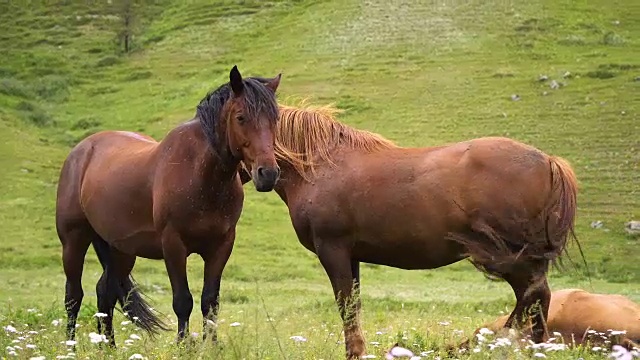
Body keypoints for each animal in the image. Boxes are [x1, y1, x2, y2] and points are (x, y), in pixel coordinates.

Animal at [55, 65, 282, 346]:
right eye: (241, 118)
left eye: (275, 120)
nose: (268, 174)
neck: (200, 175)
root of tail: (81, 150)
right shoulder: (173, 245)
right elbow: (183, 301)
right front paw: (183, 346)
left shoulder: (221, 246)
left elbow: (210, 302)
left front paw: (212, 347)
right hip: (73, 240)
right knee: (73, 296)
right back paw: (71, 347)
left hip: (121, 250)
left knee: (104, 293)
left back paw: (109, 348)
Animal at [239, 99, 580, 360]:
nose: (263, 175)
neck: (319, 165)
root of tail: (548, 161)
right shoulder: (351, 256)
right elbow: (354, 306)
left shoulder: (332, 250)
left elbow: (346, 307)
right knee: (535, 301)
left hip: (510, 257)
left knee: (533, 297)